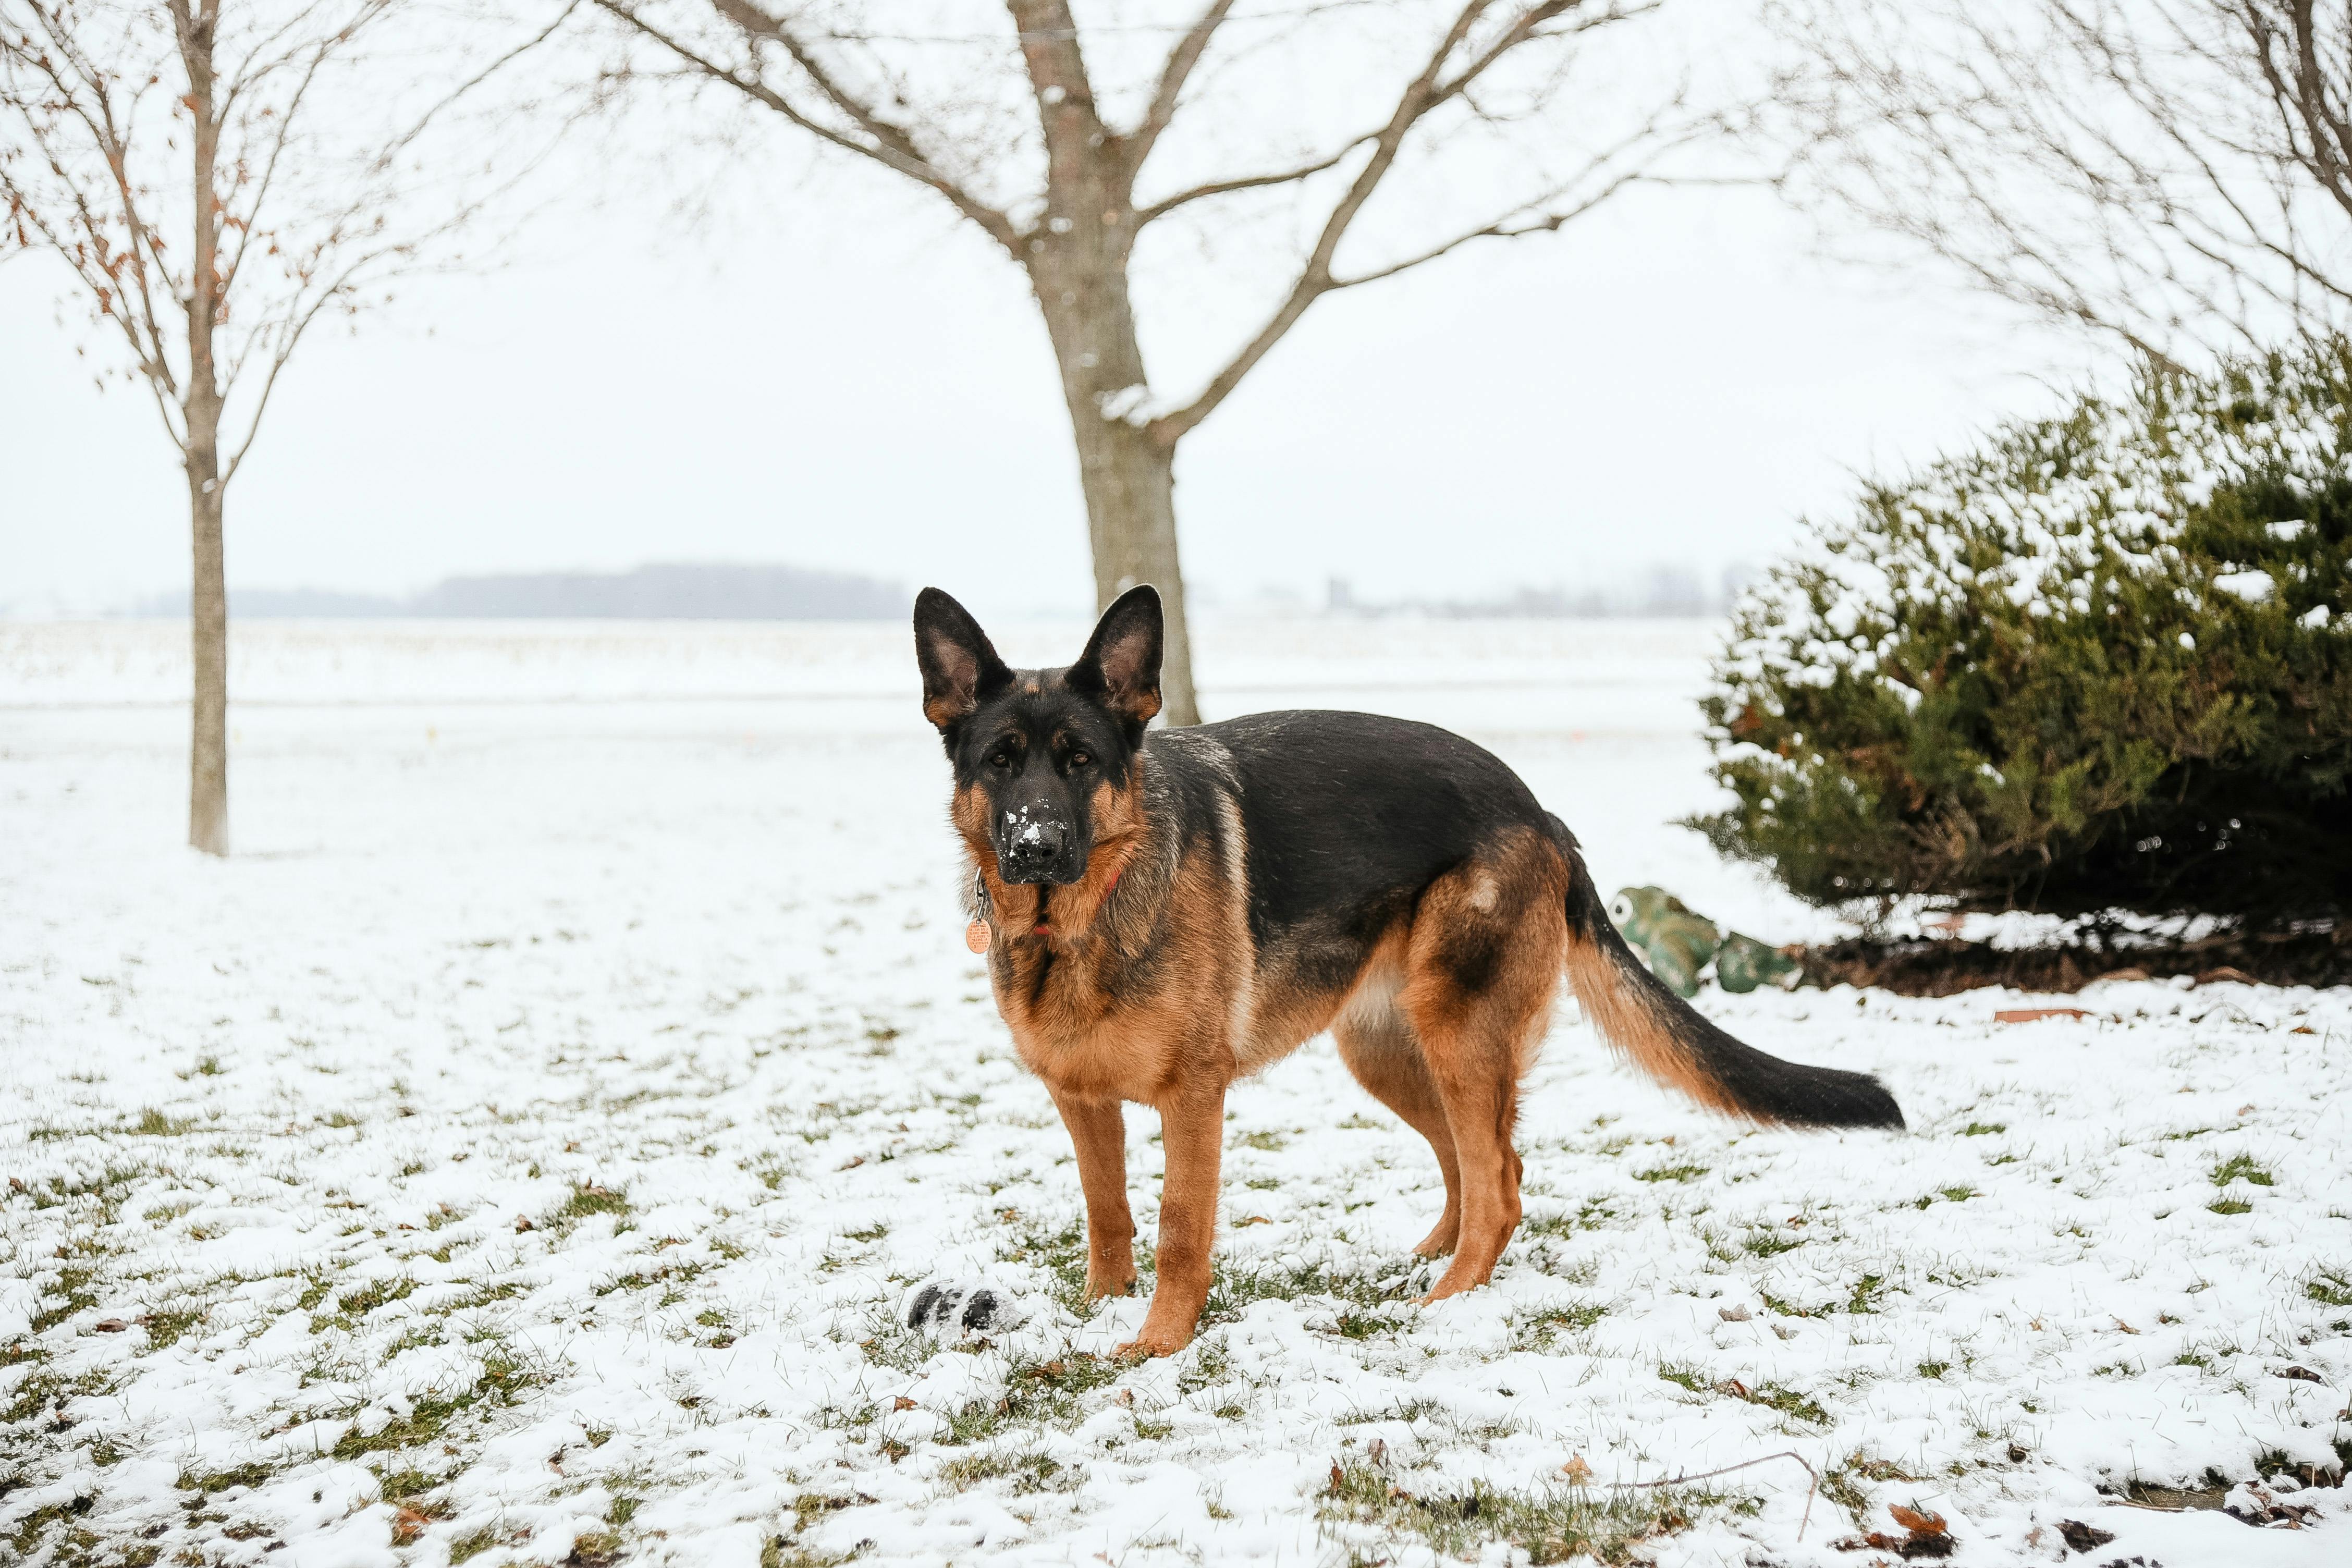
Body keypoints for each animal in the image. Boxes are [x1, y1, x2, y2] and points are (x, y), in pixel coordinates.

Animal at [908, 583, 1900, 1354]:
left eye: (1081, 762)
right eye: (1001, 762)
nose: (1036, 847)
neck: (1080, 924)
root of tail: (1539, 810)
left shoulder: (1194, 1099)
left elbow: (1178, 1227)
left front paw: (1158, 1343)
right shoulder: (1082, 1100)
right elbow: (1107, 1214)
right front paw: (1099, 1310)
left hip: (1456, 1033)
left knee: (1498, 1183)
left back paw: (1450, 1299)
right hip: (1391, 1050)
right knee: (1483, 1163)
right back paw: (1434, 1260)